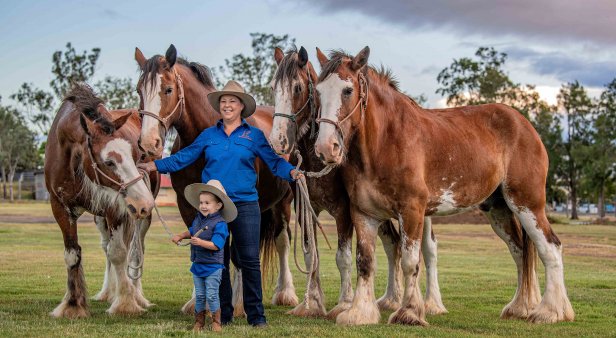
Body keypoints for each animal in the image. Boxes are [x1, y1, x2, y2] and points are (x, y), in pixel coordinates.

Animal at [46, 83, 161, 318]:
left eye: (135, 155)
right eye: (109, 162)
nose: (144, 202)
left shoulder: (115, 208)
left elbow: (119, 253)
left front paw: (126, 303)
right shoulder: (60, 208)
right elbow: (73, 255)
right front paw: (73, 304)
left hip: (138, 219)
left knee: (135, 251)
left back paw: (137, 295)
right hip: (103, 218)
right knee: (107, 246)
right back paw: (108, 292)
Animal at [270, 45, 448, 316]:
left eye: (298, 88)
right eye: (273, 88)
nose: (278, 141)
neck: (315, 159)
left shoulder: (344, 210)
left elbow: (343, 258)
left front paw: (344, 302)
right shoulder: (307, 211)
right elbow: (312, 257)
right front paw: (312, 303)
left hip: (423, 211)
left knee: (427, 249)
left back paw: (430, 303)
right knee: (393, 245)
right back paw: (391, 299)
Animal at [316, 46, 576, 324]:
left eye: (347, 90)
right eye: (318, 91)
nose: (326, 147)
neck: (385, 142)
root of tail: (525, 124)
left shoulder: (412, 211)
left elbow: (410, 262)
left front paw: (409, 313)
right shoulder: (363, 214)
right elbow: (365, 261)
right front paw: (359, 313)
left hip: (527, 204)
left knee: (550, 248)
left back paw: (551, 311)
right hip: (499, 209)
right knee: (519, 252)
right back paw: (520, 307)